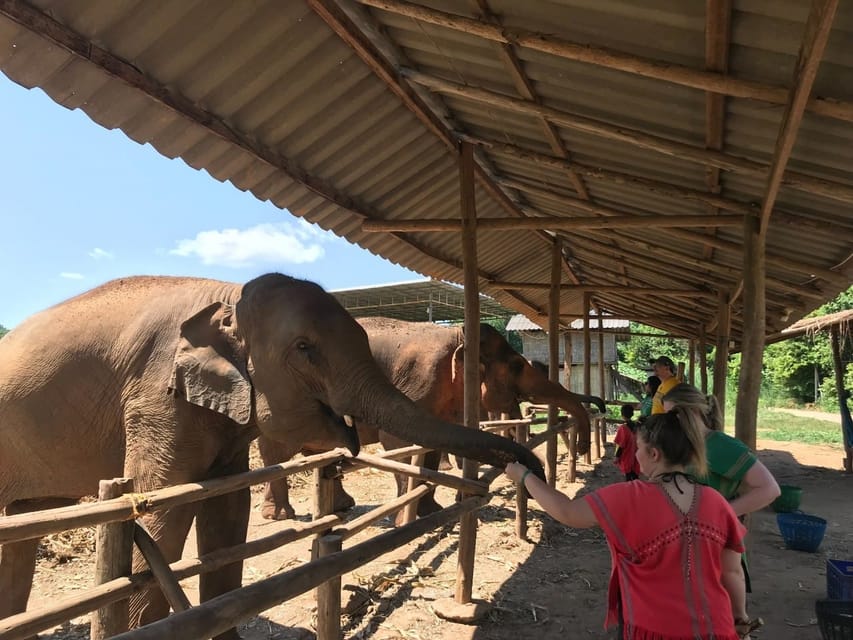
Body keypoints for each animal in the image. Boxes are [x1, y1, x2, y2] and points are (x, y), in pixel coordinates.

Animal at [0, 274, 544, 640]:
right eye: (304, 348)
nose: (532, 467)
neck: (225, 294)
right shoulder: (157, 396)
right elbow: (158, 512)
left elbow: (226, 513)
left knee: (26, 520)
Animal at [256, 318, 604, 524]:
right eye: (518, 365)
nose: (583, 448)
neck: (458, 331)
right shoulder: (417, 378)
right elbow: (397, 442)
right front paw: (407, 519)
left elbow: (432, 448)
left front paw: (431, 512)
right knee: (276, 453)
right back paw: (279, 516)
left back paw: (340, 507)